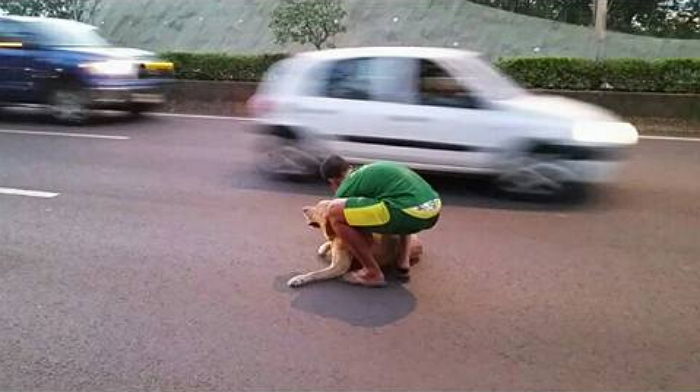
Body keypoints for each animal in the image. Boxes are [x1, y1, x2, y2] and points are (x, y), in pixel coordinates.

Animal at [288, 199, 424, 288]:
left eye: (316, 208)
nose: (303, 208)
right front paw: (324, 247)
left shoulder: (339, 267)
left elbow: (315, 273)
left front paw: (299, 279)